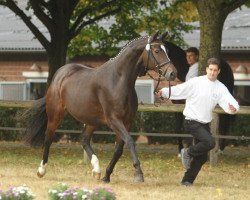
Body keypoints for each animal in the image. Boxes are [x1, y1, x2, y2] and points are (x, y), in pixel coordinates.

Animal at [23, 31, 176, 183]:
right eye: (157, 51)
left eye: (168, 51)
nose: (173, 73)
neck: (118, 81)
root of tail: (59, 75)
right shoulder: (114, 120)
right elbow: (130, 141)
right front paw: (138, 173)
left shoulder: (127, 122)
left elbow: (118, 149)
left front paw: (106, 176)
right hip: (56, 114)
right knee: (48, 138)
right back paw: (41, 170)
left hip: (92, 120)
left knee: (84, 139)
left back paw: (96, 170)